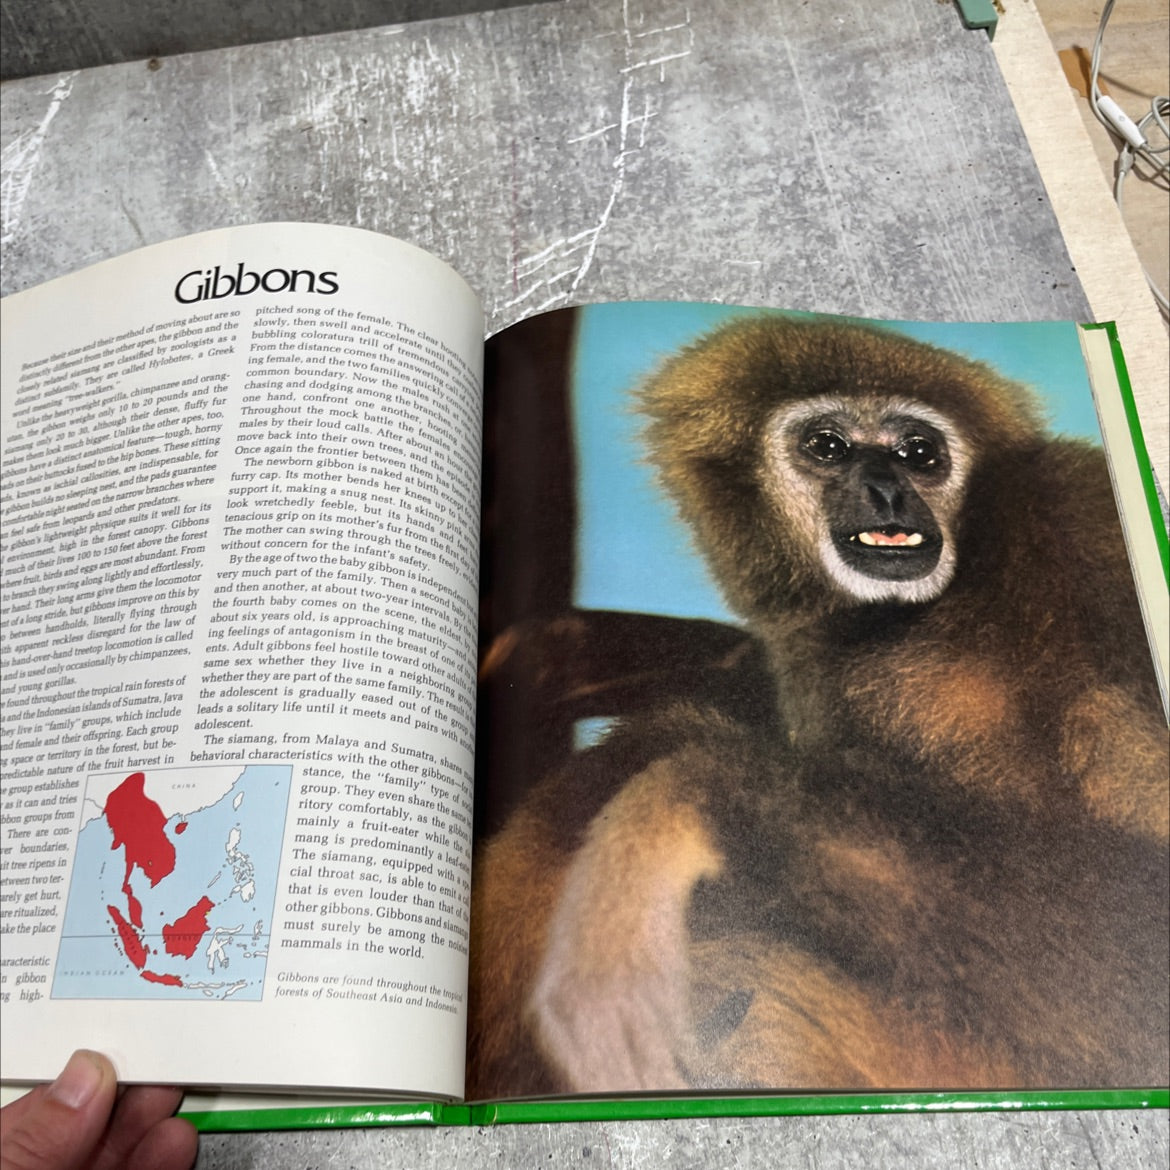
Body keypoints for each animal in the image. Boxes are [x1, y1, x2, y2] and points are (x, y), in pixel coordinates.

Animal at [465, 314, 1169, 1100]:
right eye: (827, 445)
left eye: (920, 451)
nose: (888, 490)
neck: (937, 607)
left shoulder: (1075, 523)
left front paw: (670, 809)